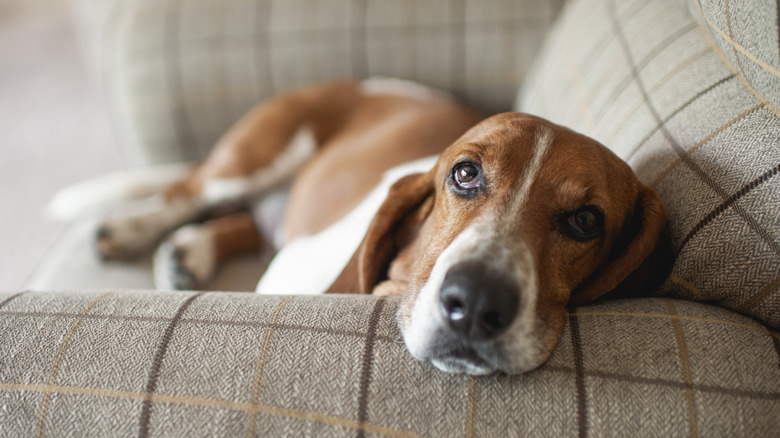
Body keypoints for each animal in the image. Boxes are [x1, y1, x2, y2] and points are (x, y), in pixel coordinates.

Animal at [93, 78, 672, 372]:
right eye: (465, 173)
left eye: (585, 220)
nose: (475, 303)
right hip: (250, 158)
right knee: (184, 193)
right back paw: (128, 230)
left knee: (240, 223)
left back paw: (190, 252)